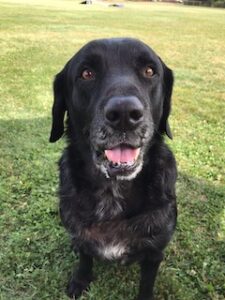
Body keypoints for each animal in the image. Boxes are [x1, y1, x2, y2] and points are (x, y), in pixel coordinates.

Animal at [49, 38, 178, 300]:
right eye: (87, 73)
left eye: (150, 71)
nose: (125, 114)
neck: (113, 190)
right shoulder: (81, 235)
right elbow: (85, 257)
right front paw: (80, 280)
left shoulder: (154, 252)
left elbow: (147, 283)